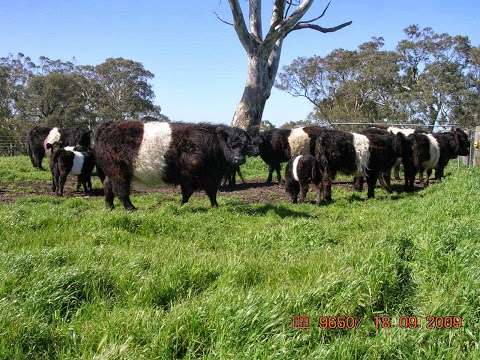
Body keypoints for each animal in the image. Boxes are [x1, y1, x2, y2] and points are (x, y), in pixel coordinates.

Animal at [93, 121, 255, 211]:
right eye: (231, 145)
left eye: (245, 145)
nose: (239, 159)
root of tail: (108, 125)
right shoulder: (188, 174)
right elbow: (187, 193)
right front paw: (180, 206)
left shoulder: (211, 176)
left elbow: (212, 193)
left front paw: (215, 207)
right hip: (119, 171)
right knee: (120, 190)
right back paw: (130, 208)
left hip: (111, 171)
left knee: (108, 186)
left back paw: (109, 207)